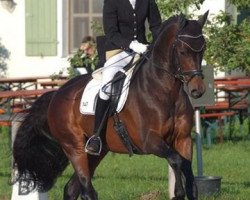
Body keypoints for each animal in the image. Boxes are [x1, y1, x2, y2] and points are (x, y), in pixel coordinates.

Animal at [12, 12, 208, 200]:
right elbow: (176, 160)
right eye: (182, 51)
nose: (197, 90)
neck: (166, 91)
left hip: (97, 152)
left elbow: (186, 167)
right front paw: (178, 193)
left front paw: (186, 190)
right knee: (87, 190)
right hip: (74, 147)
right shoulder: (149, 141)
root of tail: (57, 94)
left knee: (71, 189)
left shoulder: (183, 140)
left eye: (203, 49)